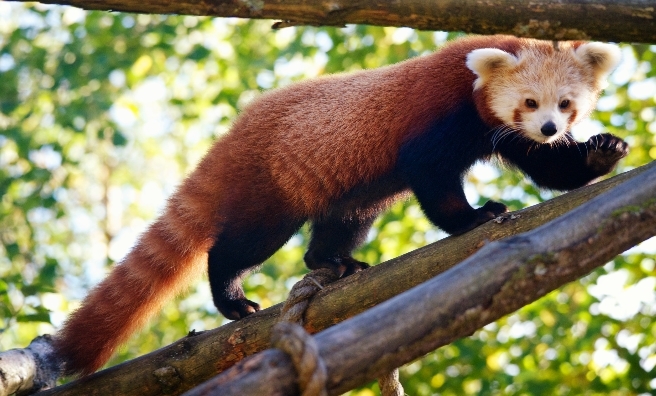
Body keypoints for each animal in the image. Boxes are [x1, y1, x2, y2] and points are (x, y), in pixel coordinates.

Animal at [51, 33, 624, 374]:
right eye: (529, 101)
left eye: (566, 105)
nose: (549, 127)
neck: (472, 85)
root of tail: (235, 136)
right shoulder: (438, 116)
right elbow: (433, 181)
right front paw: (473, 217)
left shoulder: (505, 133)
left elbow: (546, 166)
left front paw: (599, 153)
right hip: (270, 192)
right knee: (238, 245)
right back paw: (232, 295)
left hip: (345, 197)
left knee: (340, 225)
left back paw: (335, 261)